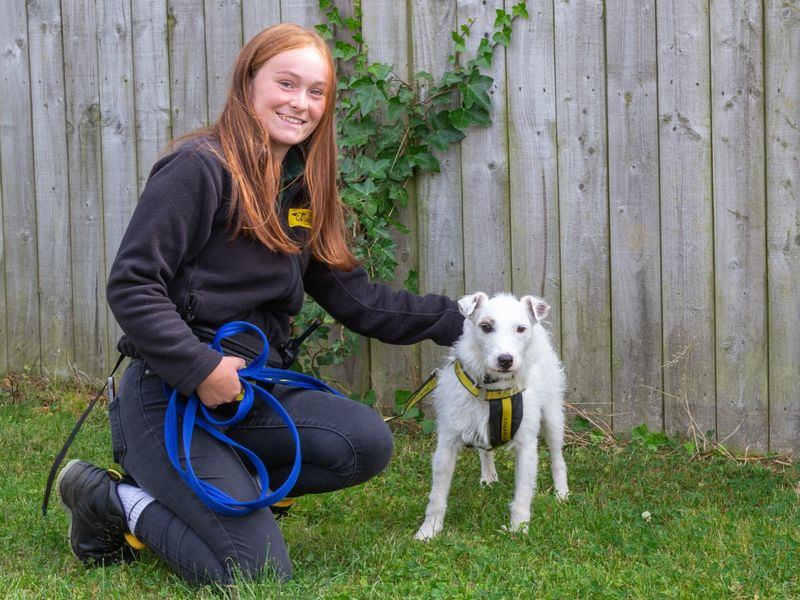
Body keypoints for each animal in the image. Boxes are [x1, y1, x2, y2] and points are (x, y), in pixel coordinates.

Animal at [412, 290, 568, 540]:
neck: (492, 388)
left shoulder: (526, 446)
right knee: (485, 451)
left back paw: (562, 492)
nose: (505, 360)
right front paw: (429, 530)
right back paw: (489, 477)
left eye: (521, 329)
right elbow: (437, 497)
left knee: (557, 458)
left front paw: (518, 528)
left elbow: (523, 494)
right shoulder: (446, 445)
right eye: (486, 326)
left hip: (553, 418)